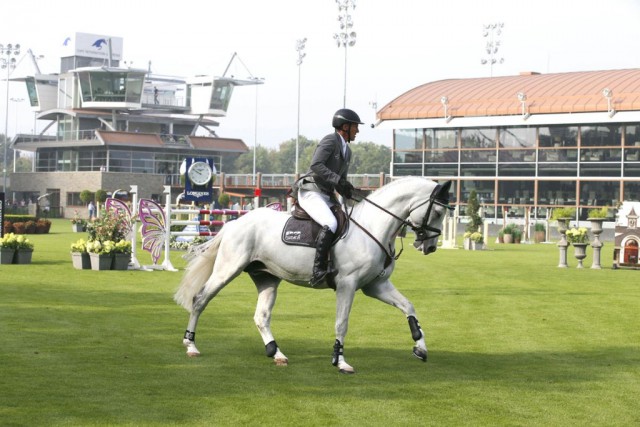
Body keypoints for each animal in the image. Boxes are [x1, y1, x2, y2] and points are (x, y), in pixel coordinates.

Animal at [174, 177, 450, 374]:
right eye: (437, 212)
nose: (430, 247)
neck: (373, 227)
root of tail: (234, 223)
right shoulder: (347, 285)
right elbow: (342, 323)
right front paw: (340, 361)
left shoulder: (376, 285)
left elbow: (409, 307)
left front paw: (420, 348)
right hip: (227, 269)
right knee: (200, 299)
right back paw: (191, 346)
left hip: (267, 278)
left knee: (261, 316)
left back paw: (276, 353)